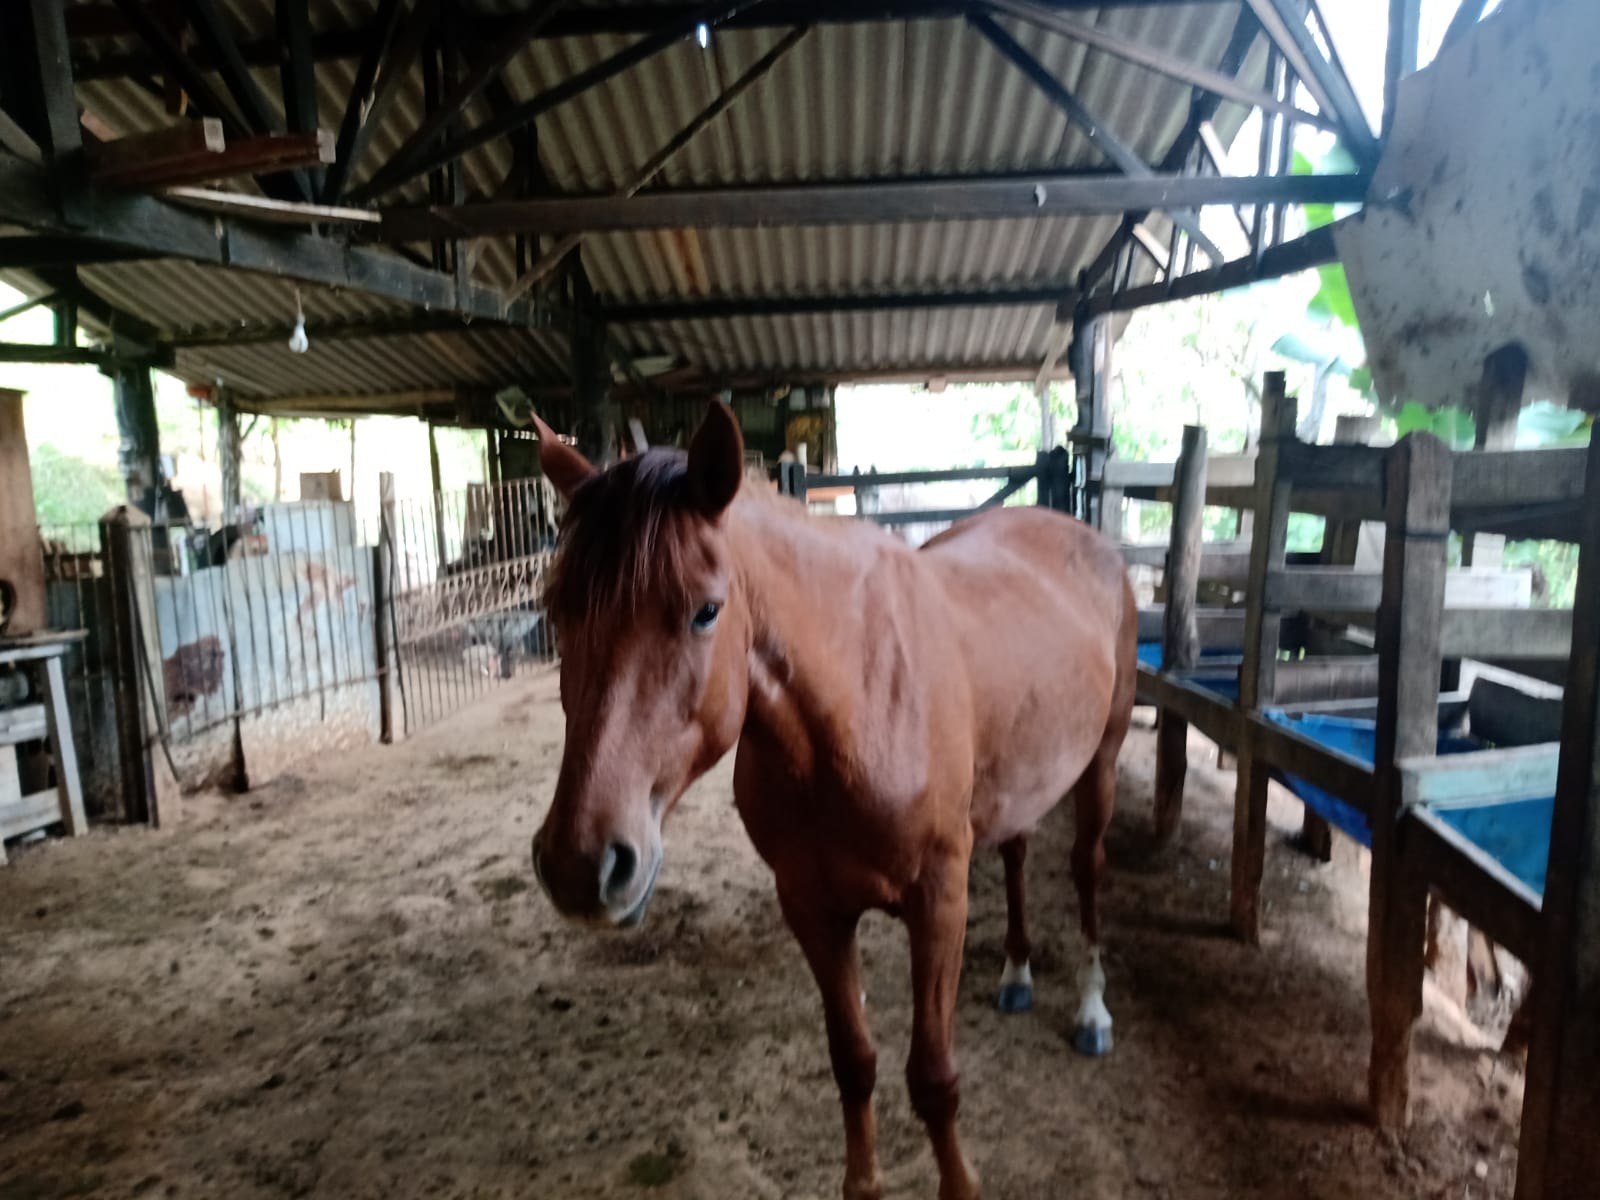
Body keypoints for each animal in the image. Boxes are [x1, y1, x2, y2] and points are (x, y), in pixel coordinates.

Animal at [537, 406, 1139, 1200]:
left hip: (1100, 762)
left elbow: (933, 1078)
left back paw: (1095, 1010)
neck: (852, 709)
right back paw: (1015, 973)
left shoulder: (938, 903)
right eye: (556, 609)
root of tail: (1089, 543)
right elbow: (853, 1062)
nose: (580, 865)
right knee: (1015, 850)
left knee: (1086, 868)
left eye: (706, 611)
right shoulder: (812, 909)